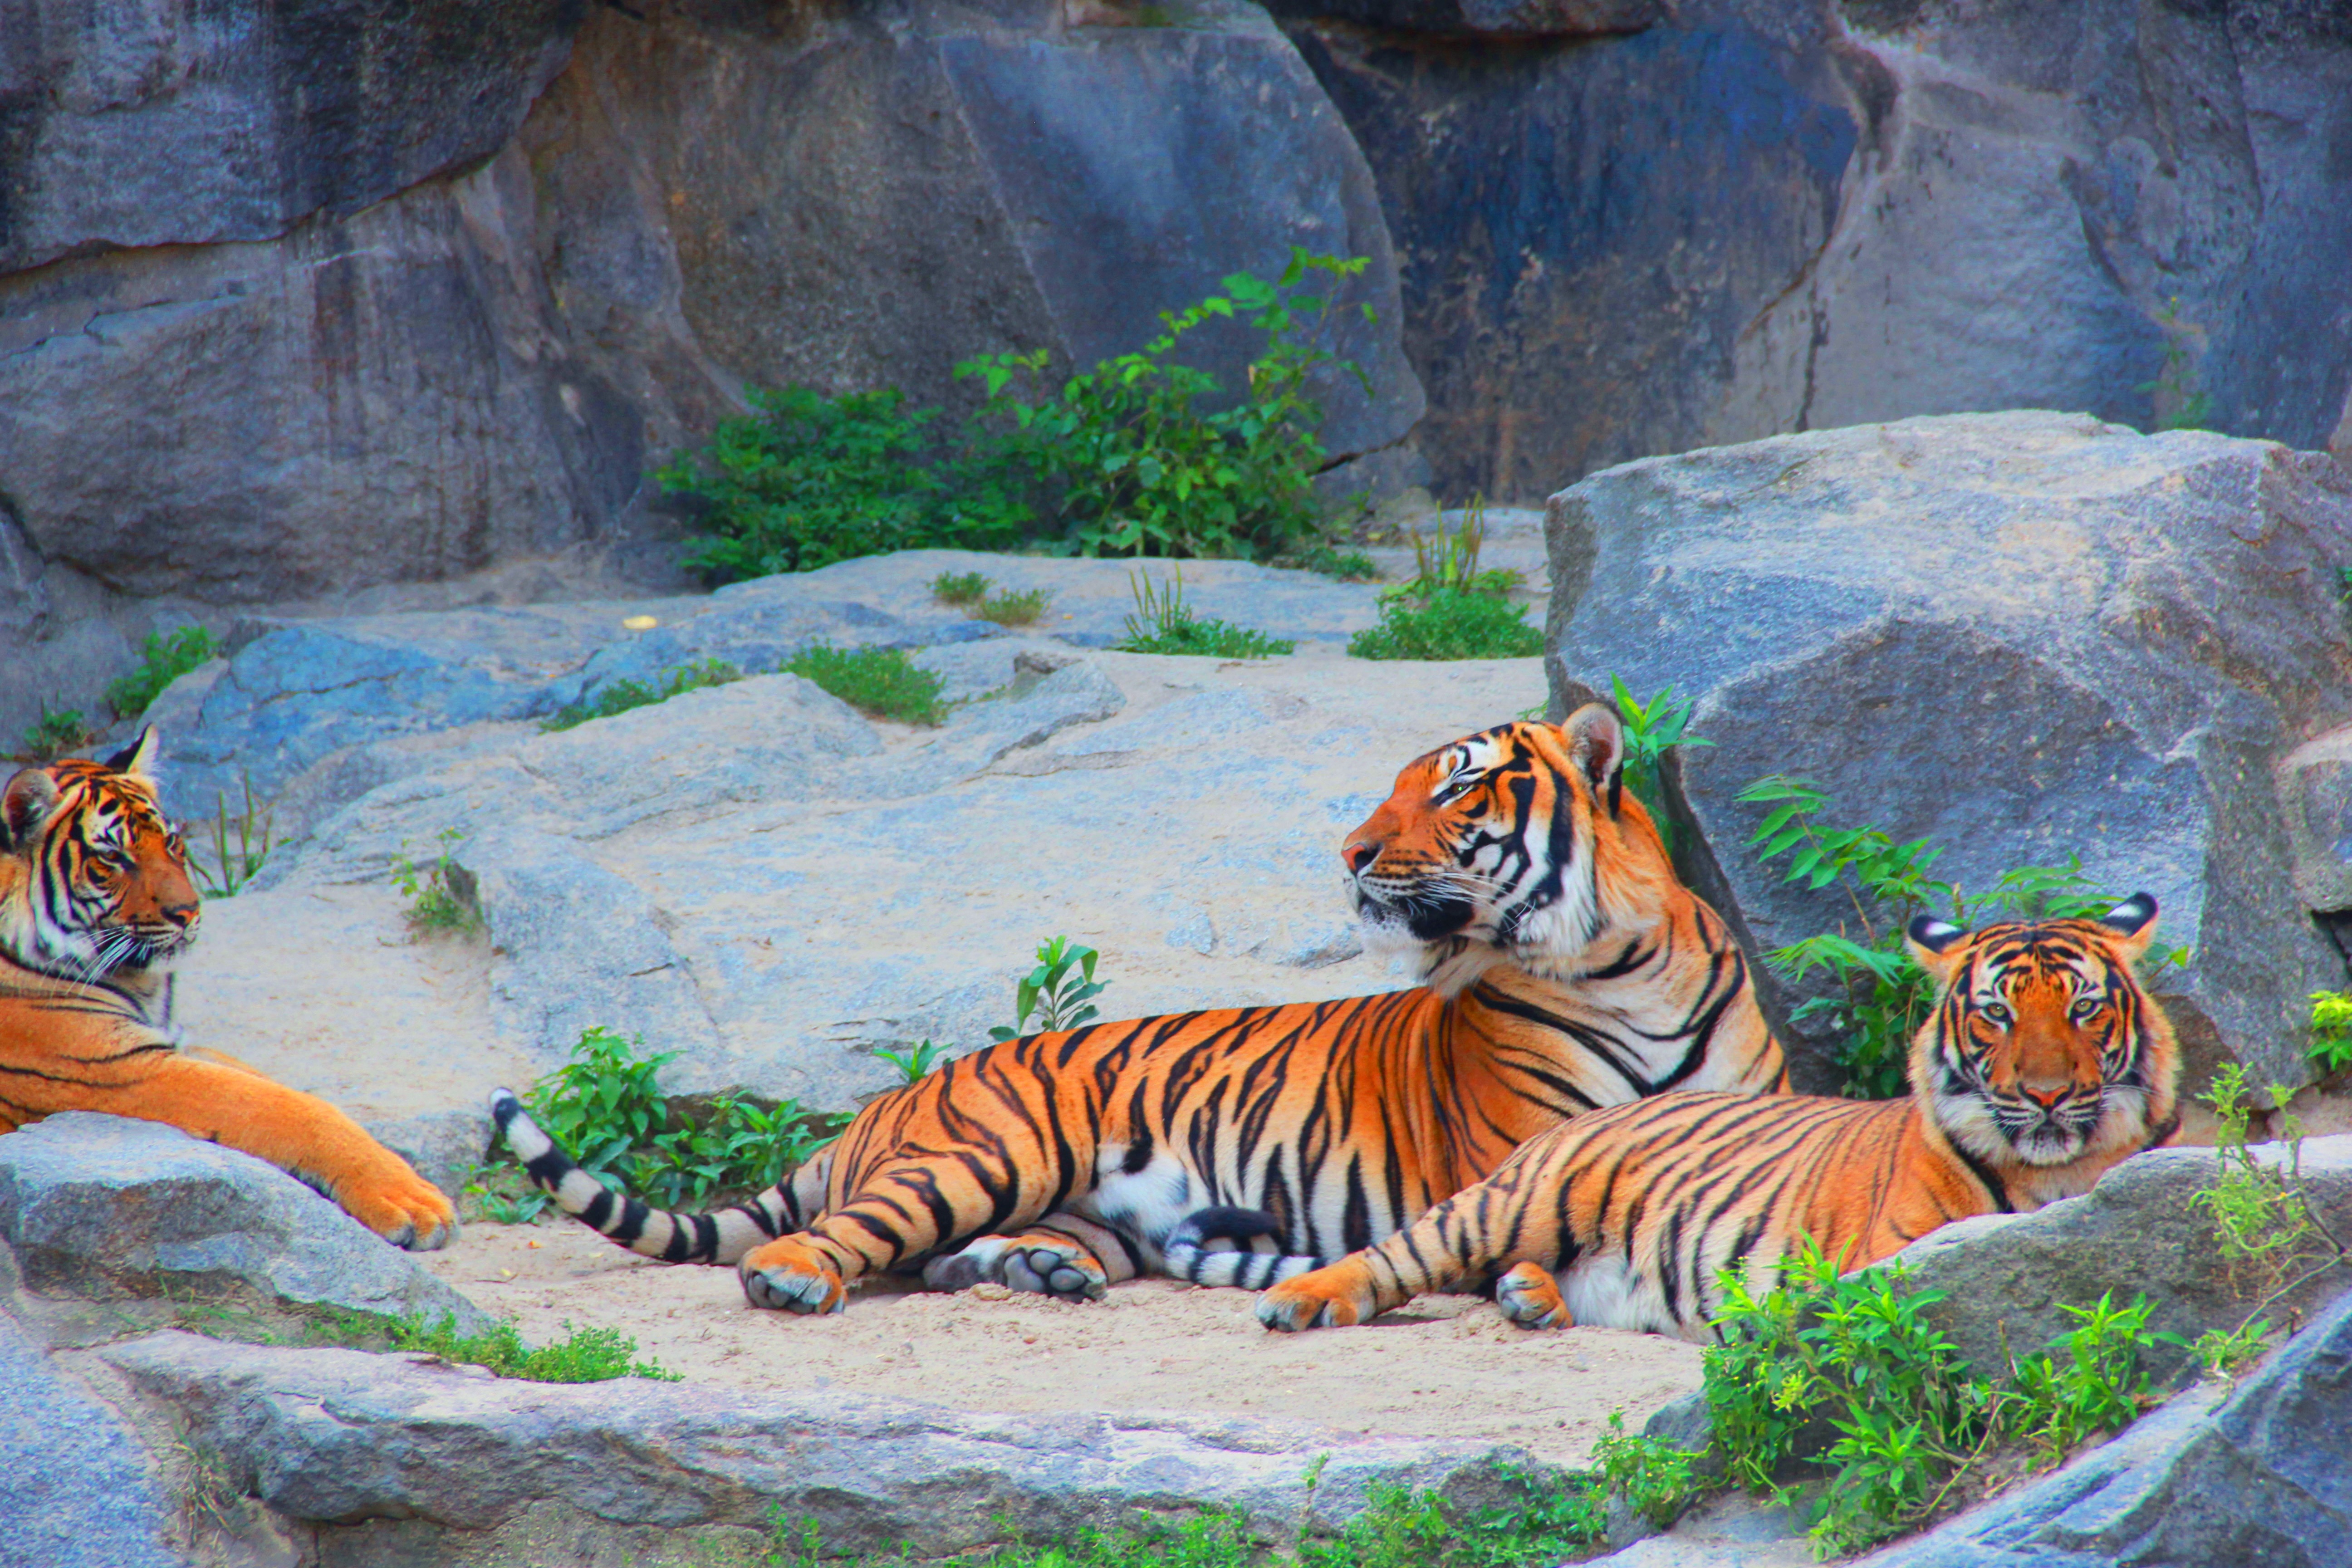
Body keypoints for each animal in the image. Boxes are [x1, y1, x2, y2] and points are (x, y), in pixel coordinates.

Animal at [0, 728, 455, 1248]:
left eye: (172, 842)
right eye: (112, 857)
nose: (189, 912)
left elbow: (289, 1090)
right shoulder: (113, 1068)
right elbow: (288, 1107)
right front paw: (413, 1201)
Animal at [493, 701, 1787, 1314]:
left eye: (1457, 787)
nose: (1351, 851)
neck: (1622, 964)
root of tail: (886, 1103)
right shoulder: (1517, 1154)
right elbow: (1538, 1225)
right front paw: (1533, 1288)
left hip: (1090, 1211)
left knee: (954, 1259)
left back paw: (1037, 1273)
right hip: (987, 1152)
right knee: (854, 1236)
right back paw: (795, 1277)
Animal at [1251, 894, 2180, 1340]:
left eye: (2083, 1009)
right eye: (1995, 1014)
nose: (2046, 1093)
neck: (2055, 1165)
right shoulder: (1888, 1256)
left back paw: (1532, 1298)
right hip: (1503, 1203)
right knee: (1388, 1256)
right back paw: (1295, 1303)